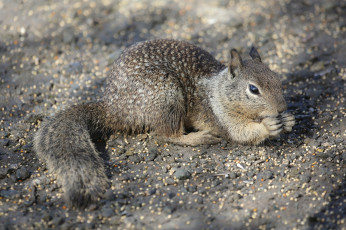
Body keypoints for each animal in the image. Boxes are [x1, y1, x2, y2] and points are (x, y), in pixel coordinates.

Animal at [33, 38, 294, 208]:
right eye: (253, 89)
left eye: (277, 78)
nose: (282, 108)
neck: (218, 90)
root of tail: (113, 111)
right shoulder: (221, 115)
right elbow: (240, 132)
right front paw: (268, 127)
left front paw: (289, 120)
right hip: (166, 96)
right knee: (166, 134)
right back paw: (198, 137)